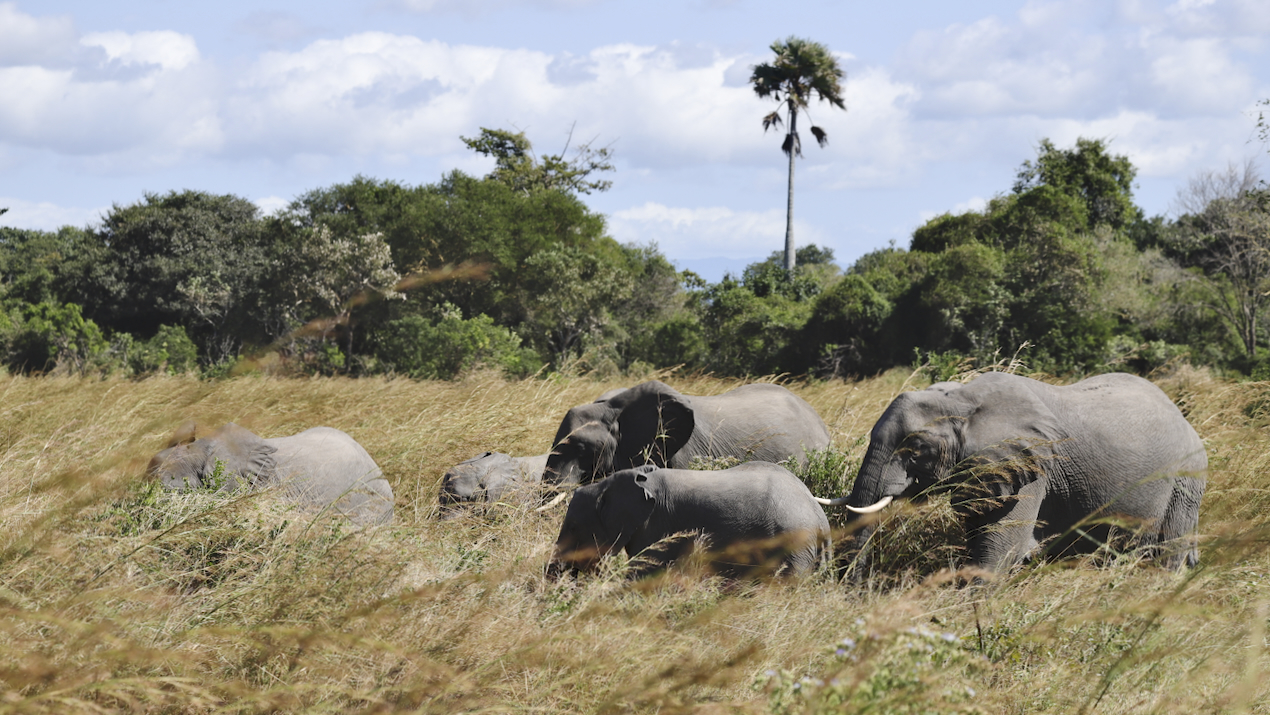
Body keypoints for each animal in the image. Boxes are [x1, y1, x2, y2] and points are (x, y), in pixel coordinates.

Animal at [817, 373, 1203, 574]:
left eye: (915, 448)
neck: (964, 398)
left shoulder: (1031, 467)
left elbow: (999, 548)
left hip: (1187, 481)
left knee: (1169, 551)